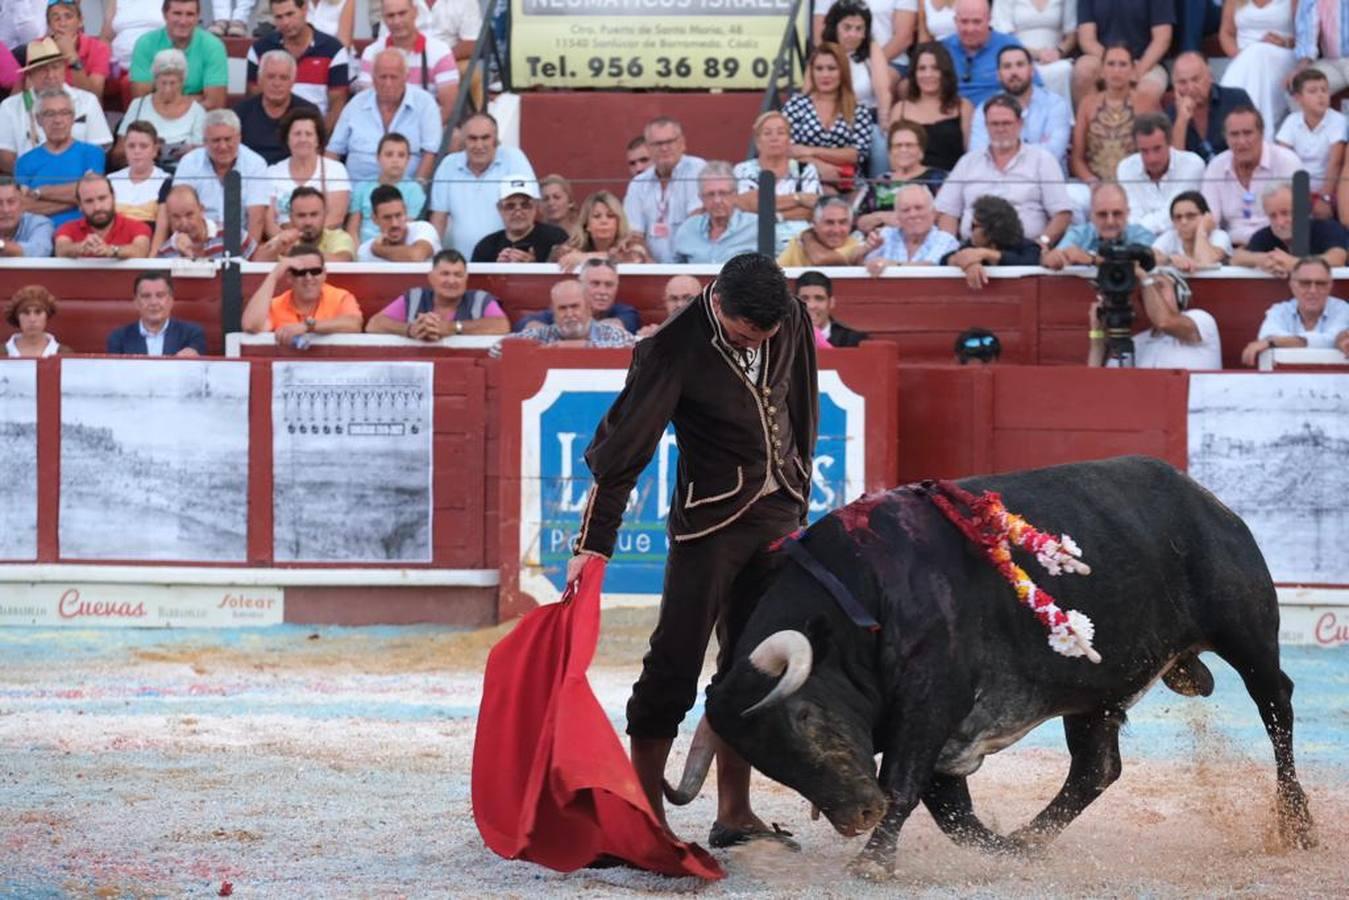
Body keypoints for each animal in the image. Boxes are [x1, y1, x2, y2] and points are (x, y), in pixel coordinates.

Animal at [690, 461, 1311, 874]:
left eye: (806, 718)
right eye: (763, 758)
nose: (857, 815)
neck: (861, 601)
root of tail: (1206, 499)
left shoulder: (929, 704)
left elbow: (906, 784)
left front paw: (874, 862)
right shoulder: (944, 730)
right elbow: (953, 814)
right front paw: (1005, 848)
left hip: (1247, 635)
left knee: (1276, 707)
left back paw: (1298, 825)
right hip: (1093, 696)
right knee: (1096, 769)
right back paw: (1031, 840)